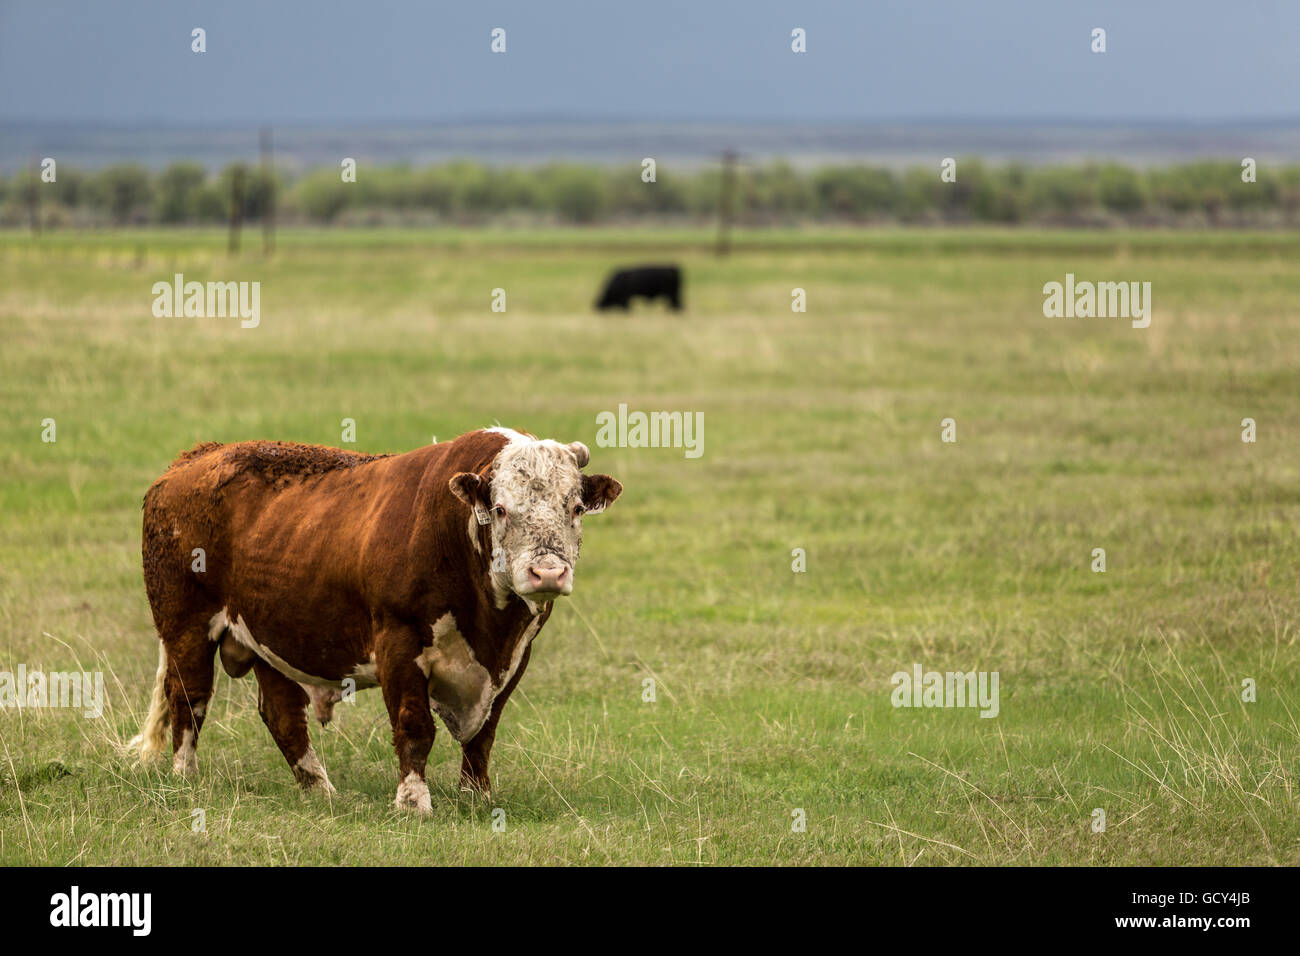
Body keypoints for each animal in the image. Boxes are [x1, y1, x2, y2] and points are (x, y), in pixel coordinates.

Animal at [131, 429, 618, 811]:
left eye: (575, 507)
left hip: (271, 637)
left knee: (282, 714)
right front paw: (413, 801)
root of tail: (195, 458)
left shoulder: (515, 655)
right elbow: (414, 725)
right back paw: (186, 776)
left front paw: (476, 798)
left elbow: (484, 733)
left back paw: (320, 790)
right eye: (500, 509)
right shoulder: (398, 641)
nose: (548, 573)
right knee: (188, 697)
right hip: (186, 626)